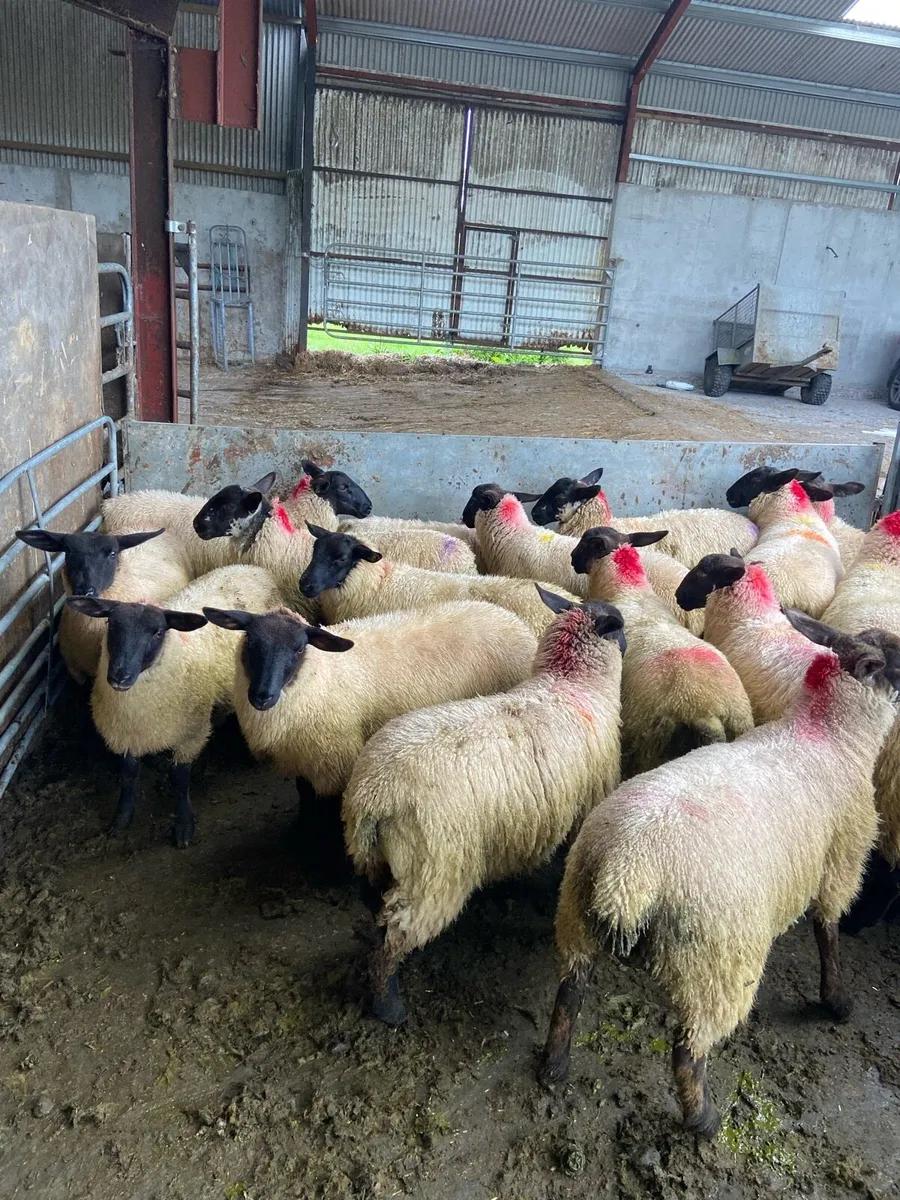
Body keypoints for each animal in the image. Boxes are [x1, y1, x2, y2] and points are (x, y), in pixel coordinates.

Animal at [66, 564, 282, 847]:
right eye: (111, 624)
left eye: (158, 632)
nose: (119, 676)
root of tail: (251, 568)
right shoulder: (128, 734)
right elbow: (128, 775)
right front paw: (122, 817)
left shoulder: (190, 734)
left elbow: (179, 779)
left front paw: (183, 825)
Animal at [202, 600, 537, 801]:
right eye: (249, 640)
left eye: (299, 648)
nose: (262, 696)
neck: (322, 676)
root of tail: (508, 616)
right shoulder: (305, 760)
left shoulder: (335, 762)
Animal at [342, 588, 626, 1025]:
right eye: (622, 626)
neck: (570, 683)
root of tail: (375, 794)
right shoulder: (587, 804)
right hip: (434, 873)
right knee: (392, 941)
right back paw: (389, 1007)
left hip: (373, 859)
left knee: (376, 912)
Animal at [538, 612, 899, 1138]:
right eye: (899, 660)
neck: (827, 735)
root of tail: (627, 872)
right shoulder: (841, 863)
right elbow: (828, 933)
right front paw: (837, 1002)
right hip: (717, 960)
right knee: (687, 1053)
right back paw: (704, 1120)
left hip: (575, 915)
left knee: (568, 995)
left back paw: (554, 1066)